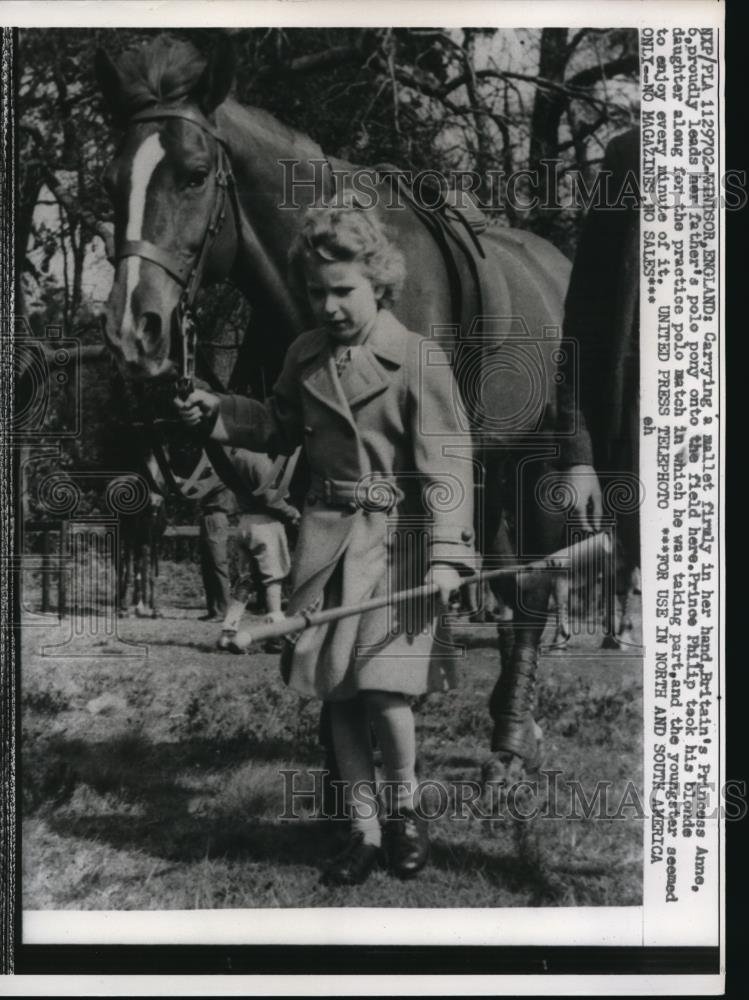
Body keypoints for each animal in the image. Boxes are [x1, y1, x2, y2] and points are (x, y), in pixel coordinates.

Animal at [93, 35, 584, 804]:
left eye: (194, 175)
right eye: (113, 184)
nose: (131, 331)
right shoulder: (307, 471)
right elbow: (314, 603)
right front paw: (339, 772)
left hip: (535, 463)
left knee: (531, 589)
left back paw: (507, 747)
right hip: (493, 469)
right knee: (509, 588)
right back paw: (518, 727)